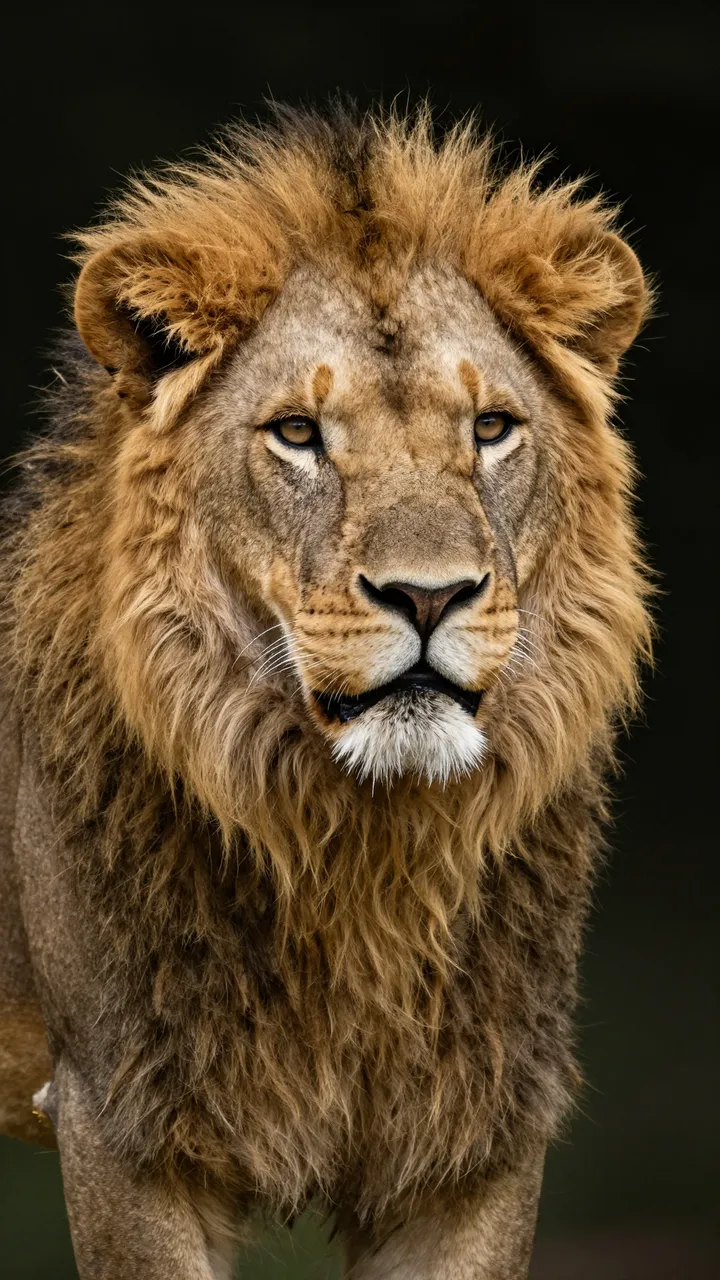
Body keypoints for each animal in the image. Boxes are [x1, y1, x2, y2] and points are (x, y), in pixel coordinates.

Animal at [0, 105, 652, 1278]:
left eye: (491, 428)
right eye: (298, 435)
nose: (429, 594)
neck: (364, 848)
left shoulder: (480, 1126)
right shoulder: (118, 1117)